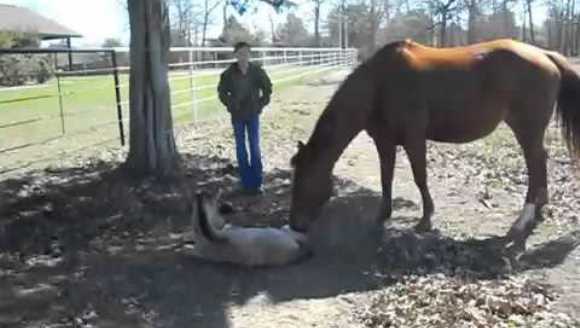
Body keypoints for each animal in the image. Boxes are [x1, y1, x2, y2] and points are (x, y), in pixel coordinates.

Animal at [288, 39, 580, 250]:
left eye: (303, 180)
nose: (295, 225)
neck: (380, 84)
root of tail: (544, 54)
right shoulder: (385, 142)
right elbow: (386, 178)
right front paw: (382, 216)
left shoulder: (414, 138)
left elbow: (420, 177)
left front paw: (425, 220)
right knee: (541, 162)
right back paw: (540, 208)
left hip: (526, 130)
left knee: (535, 164)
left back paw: (522, 220)